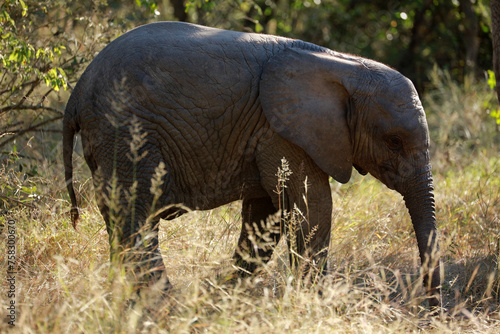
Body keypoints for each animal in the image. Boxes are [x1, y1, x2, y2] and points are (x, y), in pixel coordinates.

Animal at [63, 20, 442, 308]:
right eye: (394, 142)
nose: (431, 310)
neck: (344, 65)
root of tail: (77, 92)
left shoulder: (267, 133)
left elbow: (265, 217)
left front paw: (220, 296)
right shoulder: (281, 131)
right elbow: (312, 206)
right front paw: (315, 304)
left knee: (122, 219)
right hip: (126, 131)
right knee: (135, 219)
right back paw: (164, 304)